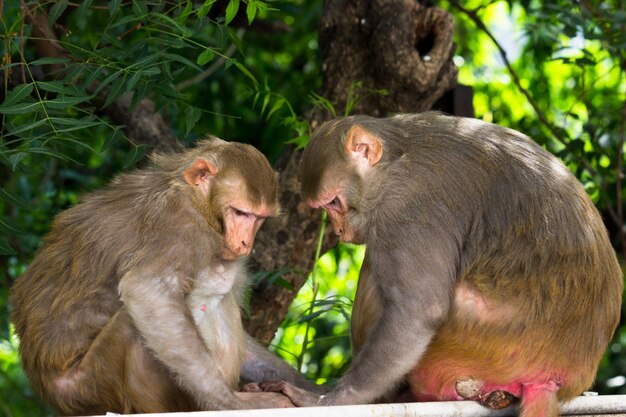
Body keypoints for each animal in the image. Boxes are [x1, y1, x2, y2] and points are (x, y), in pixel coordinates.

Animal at [7, 138, 314, 414]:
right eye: (240, 212)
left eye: (259, 218)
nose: (244, 244)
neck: (193, 199)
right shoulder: (179, 229)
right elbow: (147, 290)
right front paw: (231, 402)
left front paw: (310, 389)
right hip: (91, 386)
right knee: (135, 323)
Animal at [258, 111, 620, 416]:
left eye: (333, 203)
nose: (338, 230)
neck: (396, 158)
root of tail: (554, 379)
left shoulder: (406, 209)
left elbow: (418, 309)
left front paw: (327, 399)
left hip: (480, 343)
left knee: (379, 273)